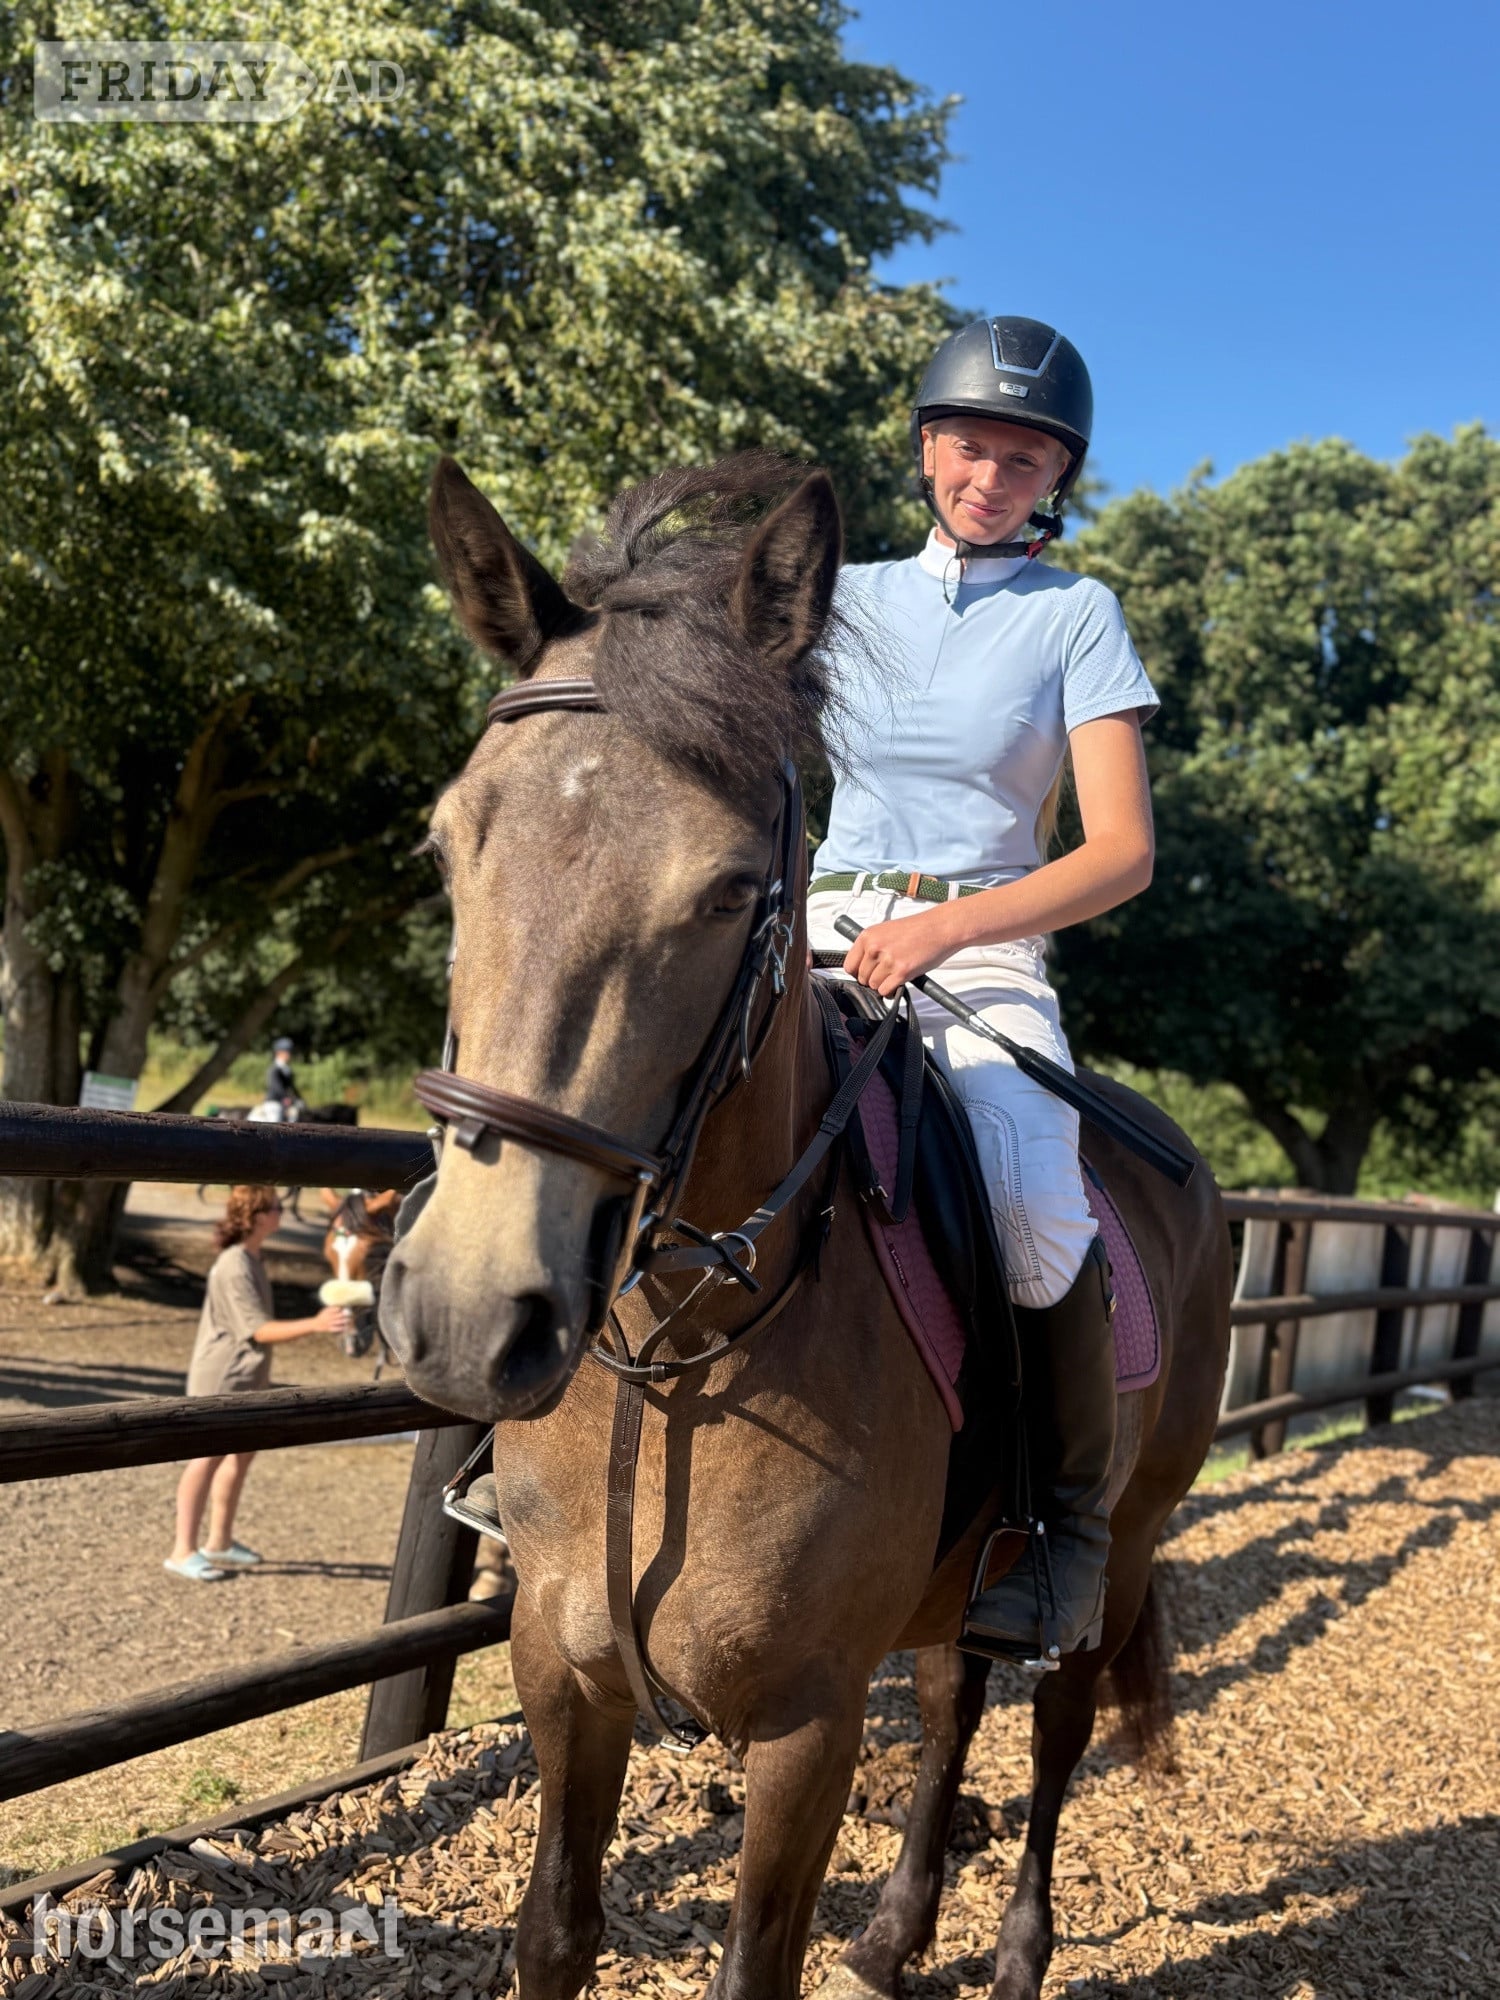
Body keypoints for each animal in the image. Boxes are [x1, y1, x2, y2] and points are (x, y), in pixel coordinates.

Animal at [379, 452, 1232, 2000]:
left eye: (730, 889)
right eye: (447, 843)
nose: (472, 1317)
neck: (679, 1366)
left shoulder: (806, 1727)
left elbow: (753, 1962)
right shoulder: (559, 1670)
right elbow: (556, 1930)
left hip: (1128, 1538)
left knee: (1058, 1723)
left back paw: (1018, 1950)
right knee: (954, 1696)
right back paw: (894, 1935)